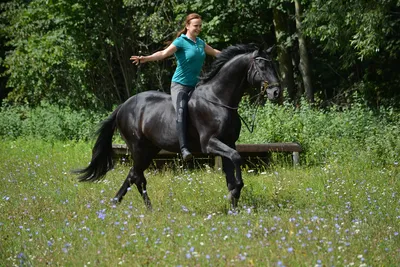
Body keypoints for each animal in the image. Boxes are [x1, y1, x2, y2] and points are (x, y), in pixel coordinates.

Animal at [76, 44, 282, 210]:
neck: (218, 99)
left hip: (150, 149)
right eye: (262, 66)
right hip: (138, 147)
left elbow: (231, 170)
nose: (276, 92)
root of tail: (122, 106)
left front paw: (233, 202)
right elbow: (236, 158)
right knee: (137, 176)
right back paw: (148, 209)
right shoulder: (211, 143)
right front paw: (236, 191)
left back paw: (117, 203)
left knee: (133, 175)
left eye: (274, 65)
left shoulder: (228, 142)